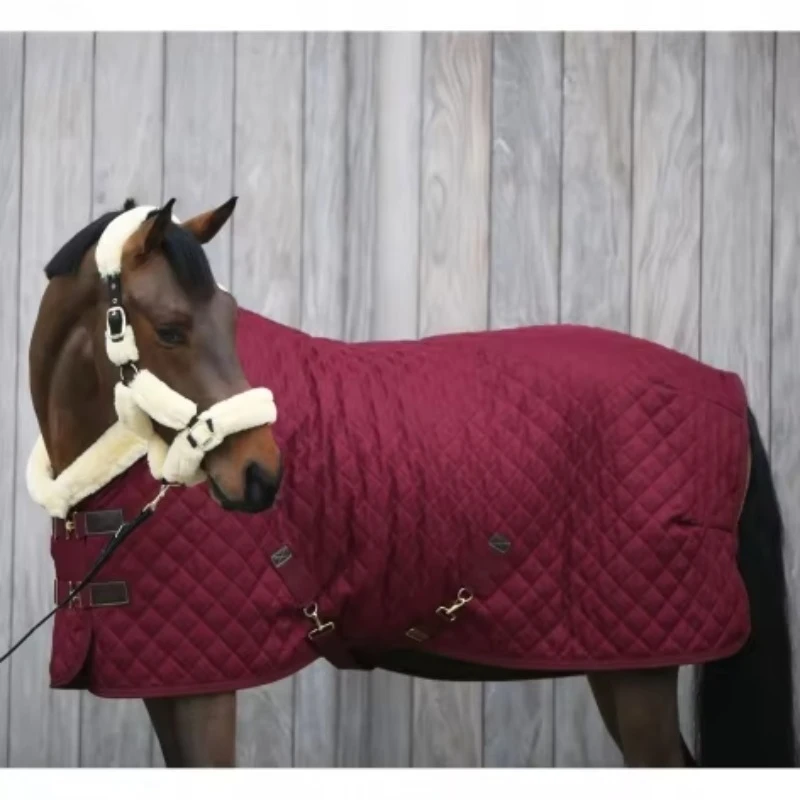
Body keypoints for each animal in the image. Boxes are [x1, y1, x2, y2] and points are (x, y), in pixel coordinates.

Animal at [21, 196, 797, 768]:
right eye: (172, 329)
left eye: (230, 319)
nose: (260, 475)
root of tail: (724, 387)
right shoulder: (167, 682)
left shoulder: (205, 688)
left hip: (636, 668)